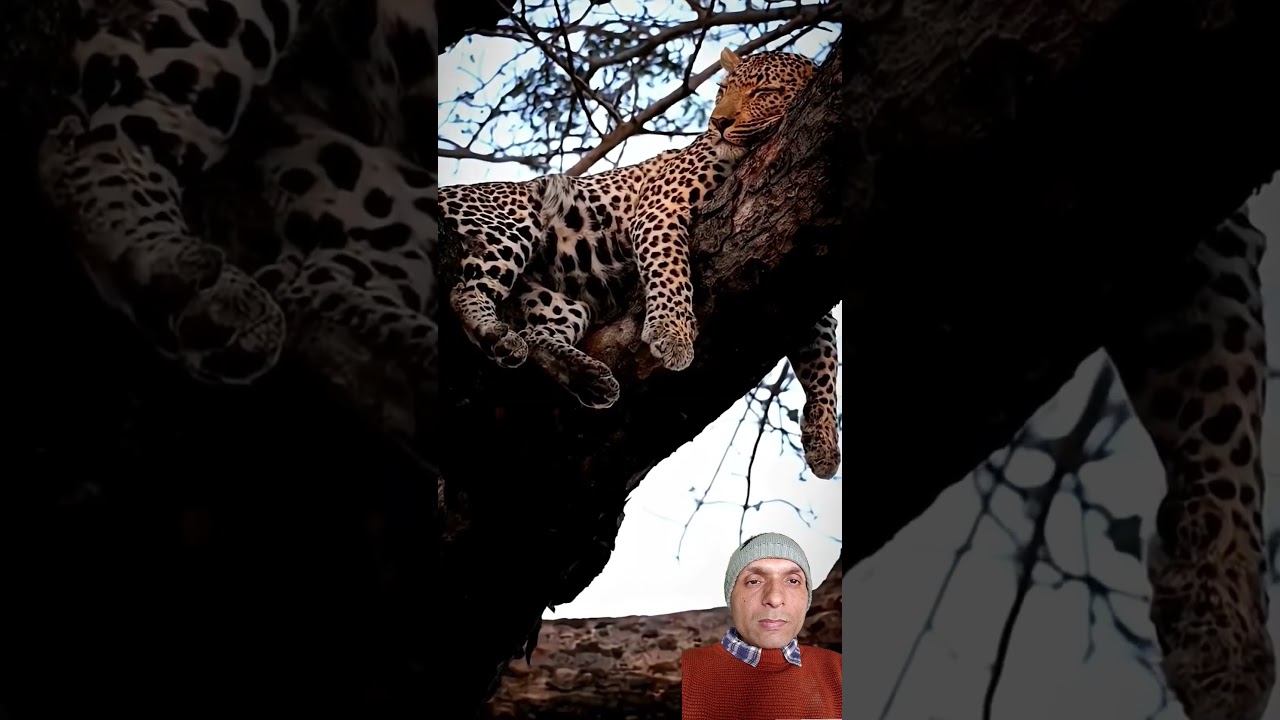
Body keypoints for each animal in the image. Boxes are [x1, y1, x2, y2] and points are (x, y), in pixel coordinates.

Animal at [439, 47, 842, 480]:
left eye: (764, 93)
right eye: (722, 92)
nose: (718, 123)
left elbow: (824, 357)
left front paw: (824, 440)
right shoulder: (660, 207)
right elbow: (670, 271)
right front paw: (673, 334)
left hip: (562, 303)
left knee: (539, 334)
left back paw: (586, 376)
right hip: (514, 222)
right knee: (464, 291)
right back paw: (498, 334)